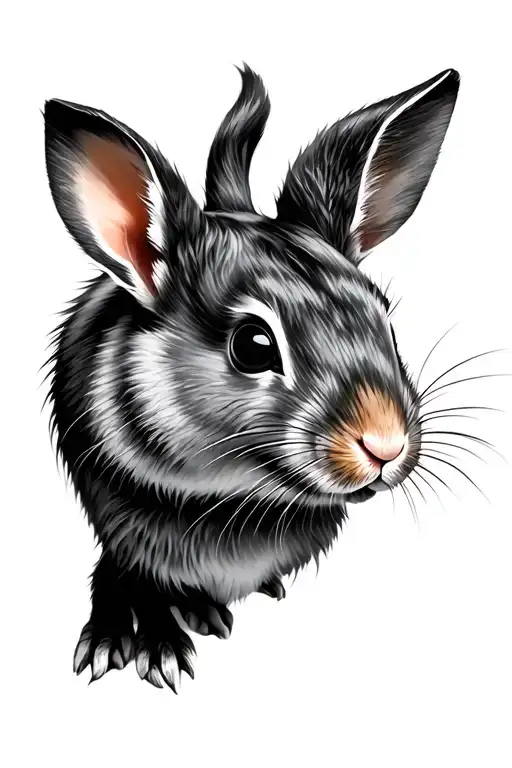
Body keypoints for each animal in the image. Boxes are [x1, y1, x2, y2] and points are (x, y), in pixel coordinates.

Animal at [44, 64, 459, 691]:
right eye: (253, 345)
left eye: (383, 316)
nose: (384, 445)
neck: (240, 491)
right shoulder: (127, 528)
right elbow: (139, 577)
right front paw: (153, 652)